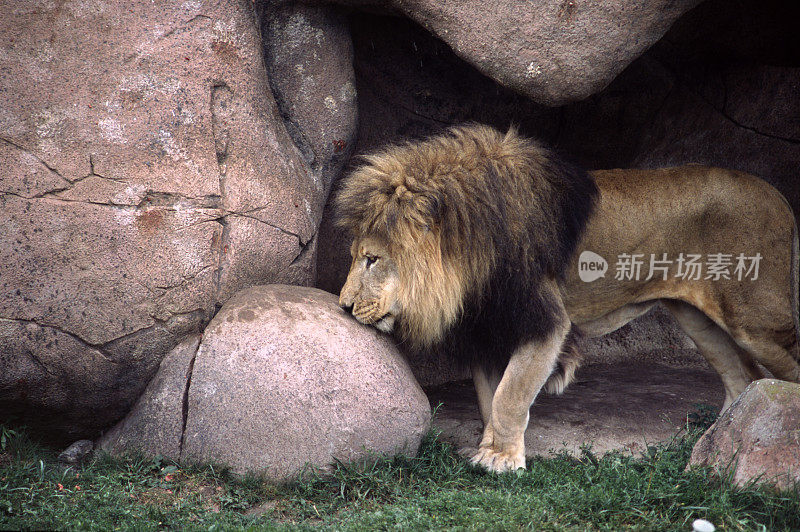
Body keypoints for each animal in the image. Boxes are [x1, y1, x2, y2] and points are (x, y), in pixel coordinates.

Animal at [332, 124, 800, 474]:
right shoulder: (486, 329)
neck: (468, 263)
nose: (344, 307)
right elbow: (488, 396)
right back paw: (715, 441)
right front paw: (491, 447)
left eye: (372, 259)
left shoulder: (545, 322)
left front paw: (499, 459)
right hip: (698, 319)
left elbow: (511, 394)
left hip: (757, 320)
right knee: (741, 376)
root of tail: (780, 197)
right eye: (357, 257)